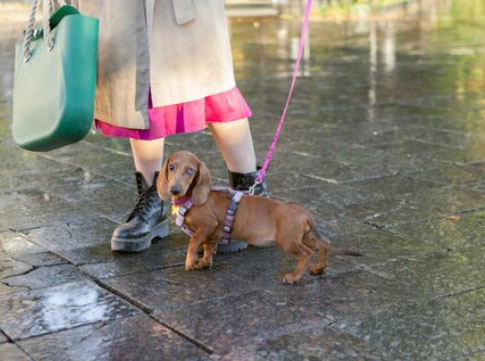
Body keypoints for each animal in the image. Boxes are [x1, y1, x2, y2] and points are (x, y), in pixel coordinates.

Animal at [156, 150, 360, 282]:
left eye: (190, 170)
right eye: (171, 167)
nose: (174, 190)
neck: (192, 199)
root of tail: (304, 212)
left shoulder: (207, 225)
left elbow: (193, 243)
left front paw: (190, 262)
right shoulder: (210, 234)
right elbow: (207, 247)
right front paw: (204, 262)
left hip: (288, 241)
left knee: (306, 254)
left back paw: (294, 277)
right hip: (305, 236)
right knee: (324, 244)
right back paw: (319, 268)